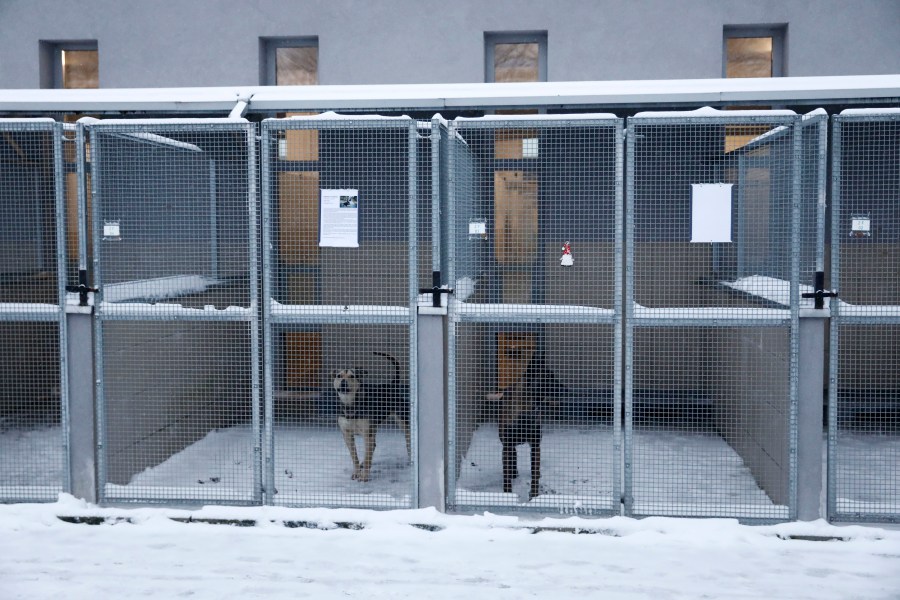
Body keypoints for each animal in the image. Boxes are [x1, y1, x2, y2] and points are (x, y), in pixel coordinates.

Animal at [334, 352, 412, 482]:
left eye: (352, 376)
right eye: (339, 376)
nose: (343, 382)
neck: (350, 404)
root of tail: (392, 385)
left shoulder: (367, 433)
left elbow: (368, 455)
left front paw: (364, 476)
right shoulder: (347, 434)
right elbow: (354, 456)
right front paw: (357, 472)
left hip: (404, 422)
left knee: (408, 442)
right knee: (373, 446)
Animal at [488, 354, 568, 500]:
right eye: (548, 377)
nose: (566, 390)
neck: (525, 413)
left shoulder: (535, 446)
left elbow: (534, 474)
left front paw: (534, 495)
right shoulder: (507, 444)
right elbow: (506, 476)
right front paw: (507, 495)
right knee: (512, 456)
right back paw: (513, 472)